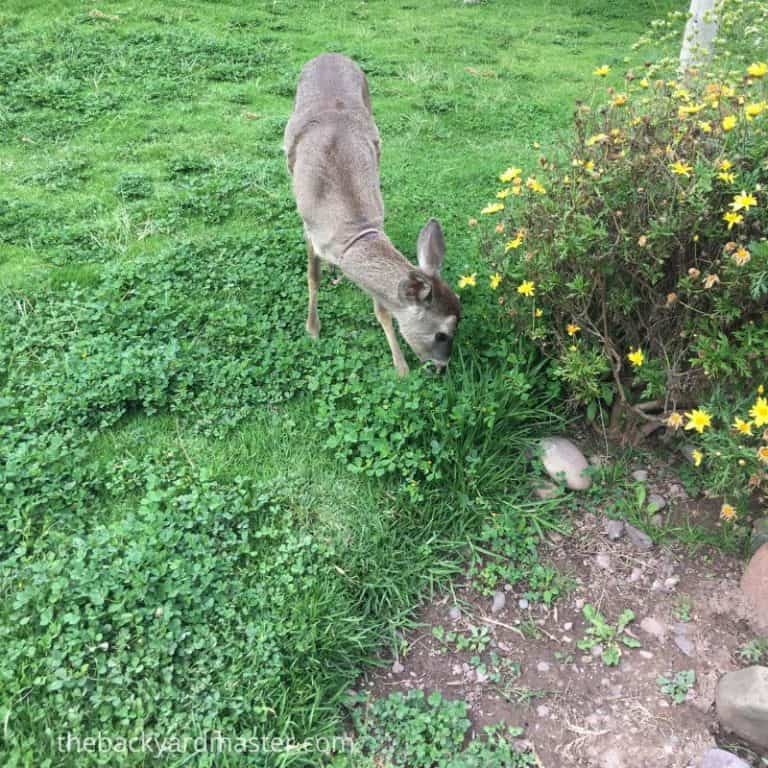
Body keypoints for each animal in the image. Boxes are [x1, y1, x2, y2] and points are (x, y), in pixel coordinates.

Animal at [284, 53, 461, 376]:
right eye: (442, 334)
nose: (441, 367)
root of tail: (330, 53)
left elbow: (381, 308)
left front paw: (399, 365)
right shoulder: (309, 227)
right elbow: (312, 278)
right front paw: (312, 328)